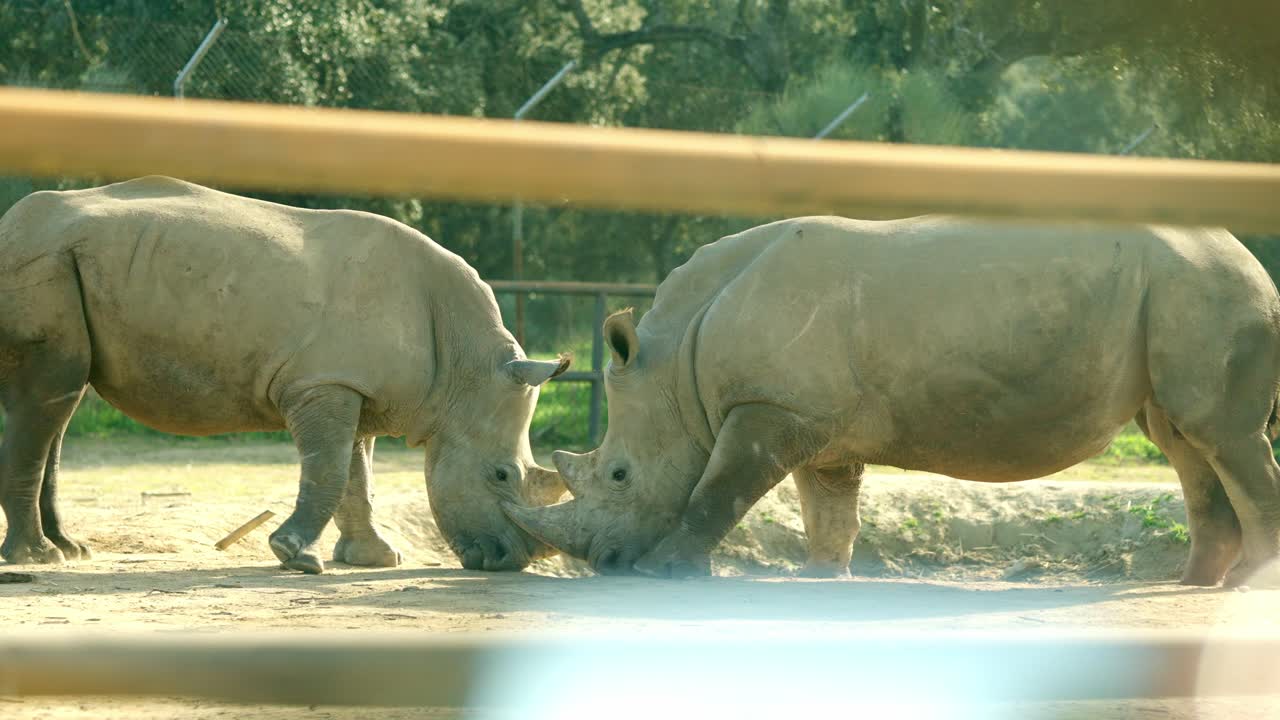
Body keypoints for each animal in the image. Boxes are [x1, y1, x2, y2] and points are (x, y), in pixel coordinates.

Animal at [0, 176, 569, 574]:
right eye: (501, 475)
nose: (509, 562)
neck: (462, 370)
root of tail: (9, 227)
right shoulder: (323, 383)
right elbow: (330, 470)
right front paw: (294, 555)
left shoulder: (351, 385)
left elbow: (357, 477)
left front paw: (374, 559)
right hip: (42, 262)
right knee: (51, 398)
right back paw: (39, 559)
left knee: (59, 405)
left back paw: (71, 551)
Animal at [505, 215, 1280, 587]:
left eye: (618, 475)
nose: (605, 563)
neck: (676, 371)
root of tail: (1251, 259)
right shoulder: (807, 417)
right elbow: (827, 507)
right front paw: (824, 577)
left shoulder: (768, 410)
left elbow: (716, 491)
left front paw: (662, 572)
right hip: (1181, 291)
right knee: (1184, 442)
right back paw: (1191, 583)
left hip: (1205, 287)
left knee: (1220, 437)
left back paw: (1245, 585)